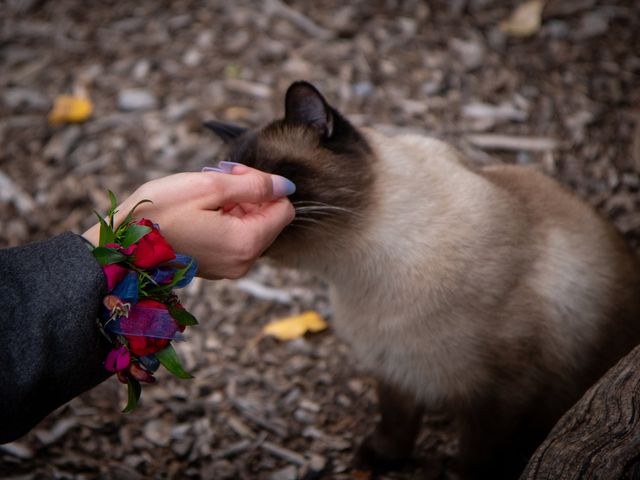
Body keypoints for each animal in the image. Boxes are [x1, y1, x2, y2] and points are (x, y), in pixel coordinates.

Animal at [204, 80, 640, 478]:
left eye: (270, 174)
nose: (229, 205)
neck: (353, 271)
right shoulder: (396, 368)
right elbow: (396, 425)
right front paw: (379, 460)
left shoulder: (498, 397)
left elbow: (478, 459)